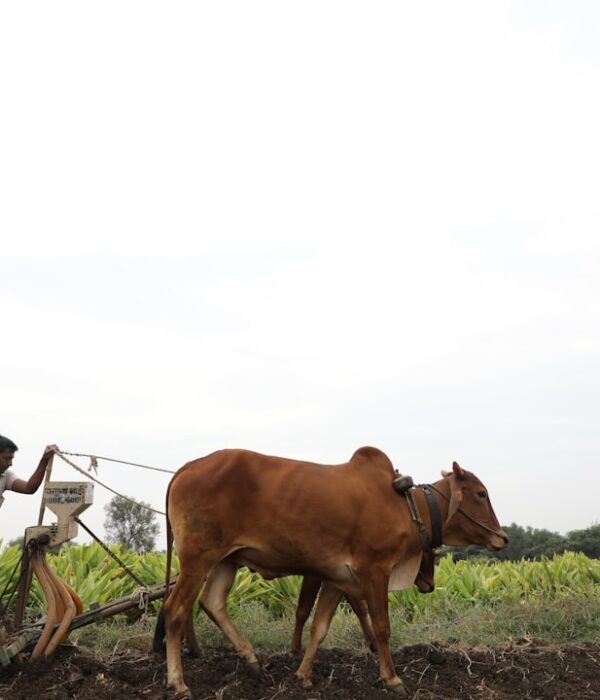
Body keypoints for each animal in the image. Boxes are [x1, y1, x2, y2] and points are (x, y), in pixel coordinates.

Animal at [154, 447, 507, 697]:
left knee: (212, 603)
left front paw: (303, 675)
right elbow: (381, 628)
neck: (407, 506)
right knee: (174, 610)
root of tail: (187, 467)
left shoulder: (338, 579)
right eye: (481, 493)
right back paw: (179, 683)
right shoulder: (375, 570)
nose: (502, 538)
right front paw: (392, 679)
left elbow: (319, 628)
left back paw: (253, 662)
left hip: (226, 560)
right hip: (198, 559)